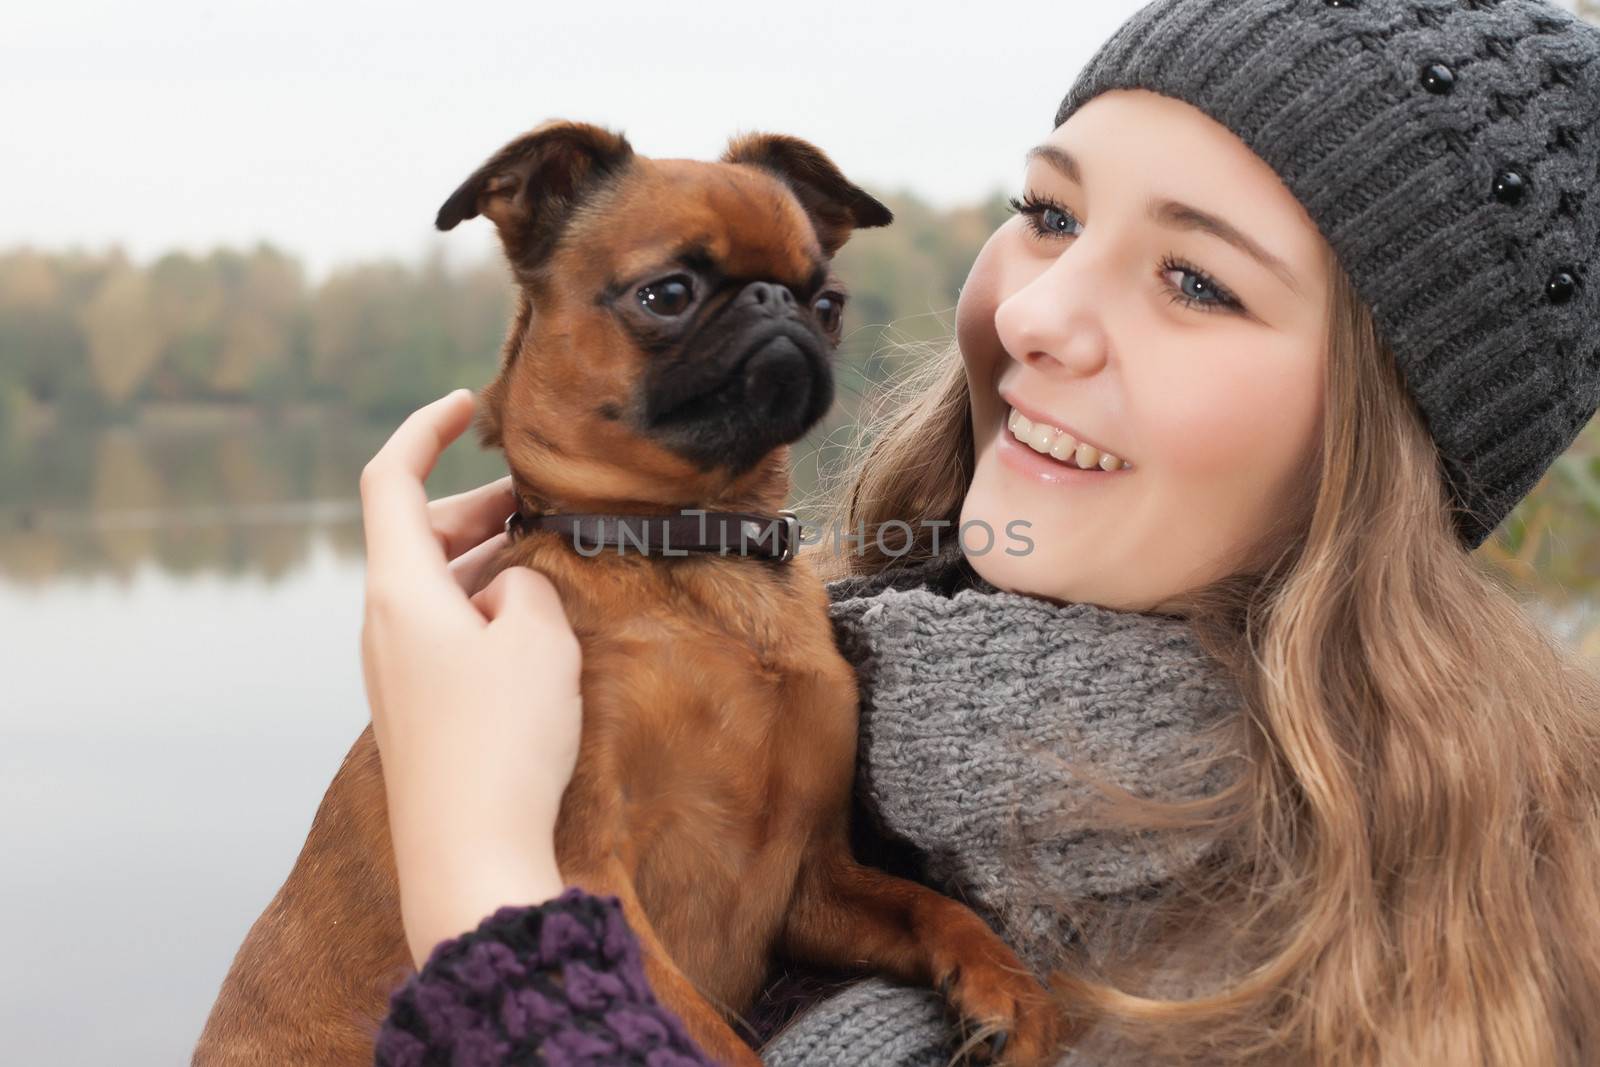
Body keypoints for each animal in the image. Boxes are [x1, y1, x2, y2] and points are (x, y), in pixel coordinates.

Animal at [193, 119, 1068, 1067]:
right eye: (668, 293)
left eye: (829, 303)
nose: (777, 303)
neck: (694, 557)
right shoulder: (589, 880)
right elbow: (718, 1046)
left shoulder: (815, 884)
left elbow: (929, 906)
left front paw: (1007, 986)